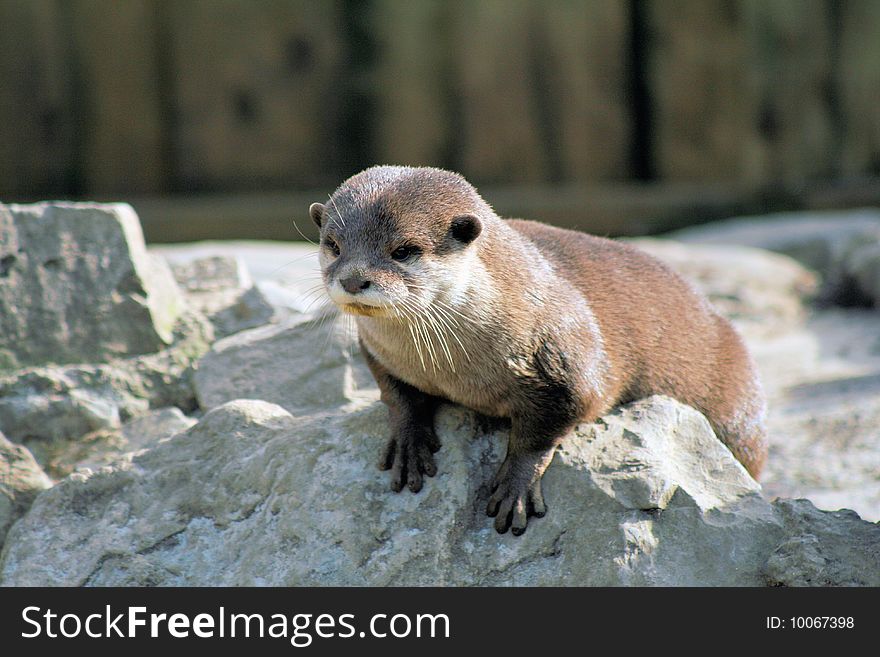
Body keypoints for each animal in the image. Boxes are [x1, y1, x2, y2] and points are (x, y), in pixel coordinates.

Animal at [310, 164, 764, 532]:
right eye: (333, 244)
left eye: (403, 250)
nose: (353, 279)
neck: (452, 369)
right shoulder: (377, 350)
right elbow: (395, 393)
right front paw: (409, 440)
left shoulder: (568, 360)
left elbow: (549, 425)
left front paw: (516, 484)